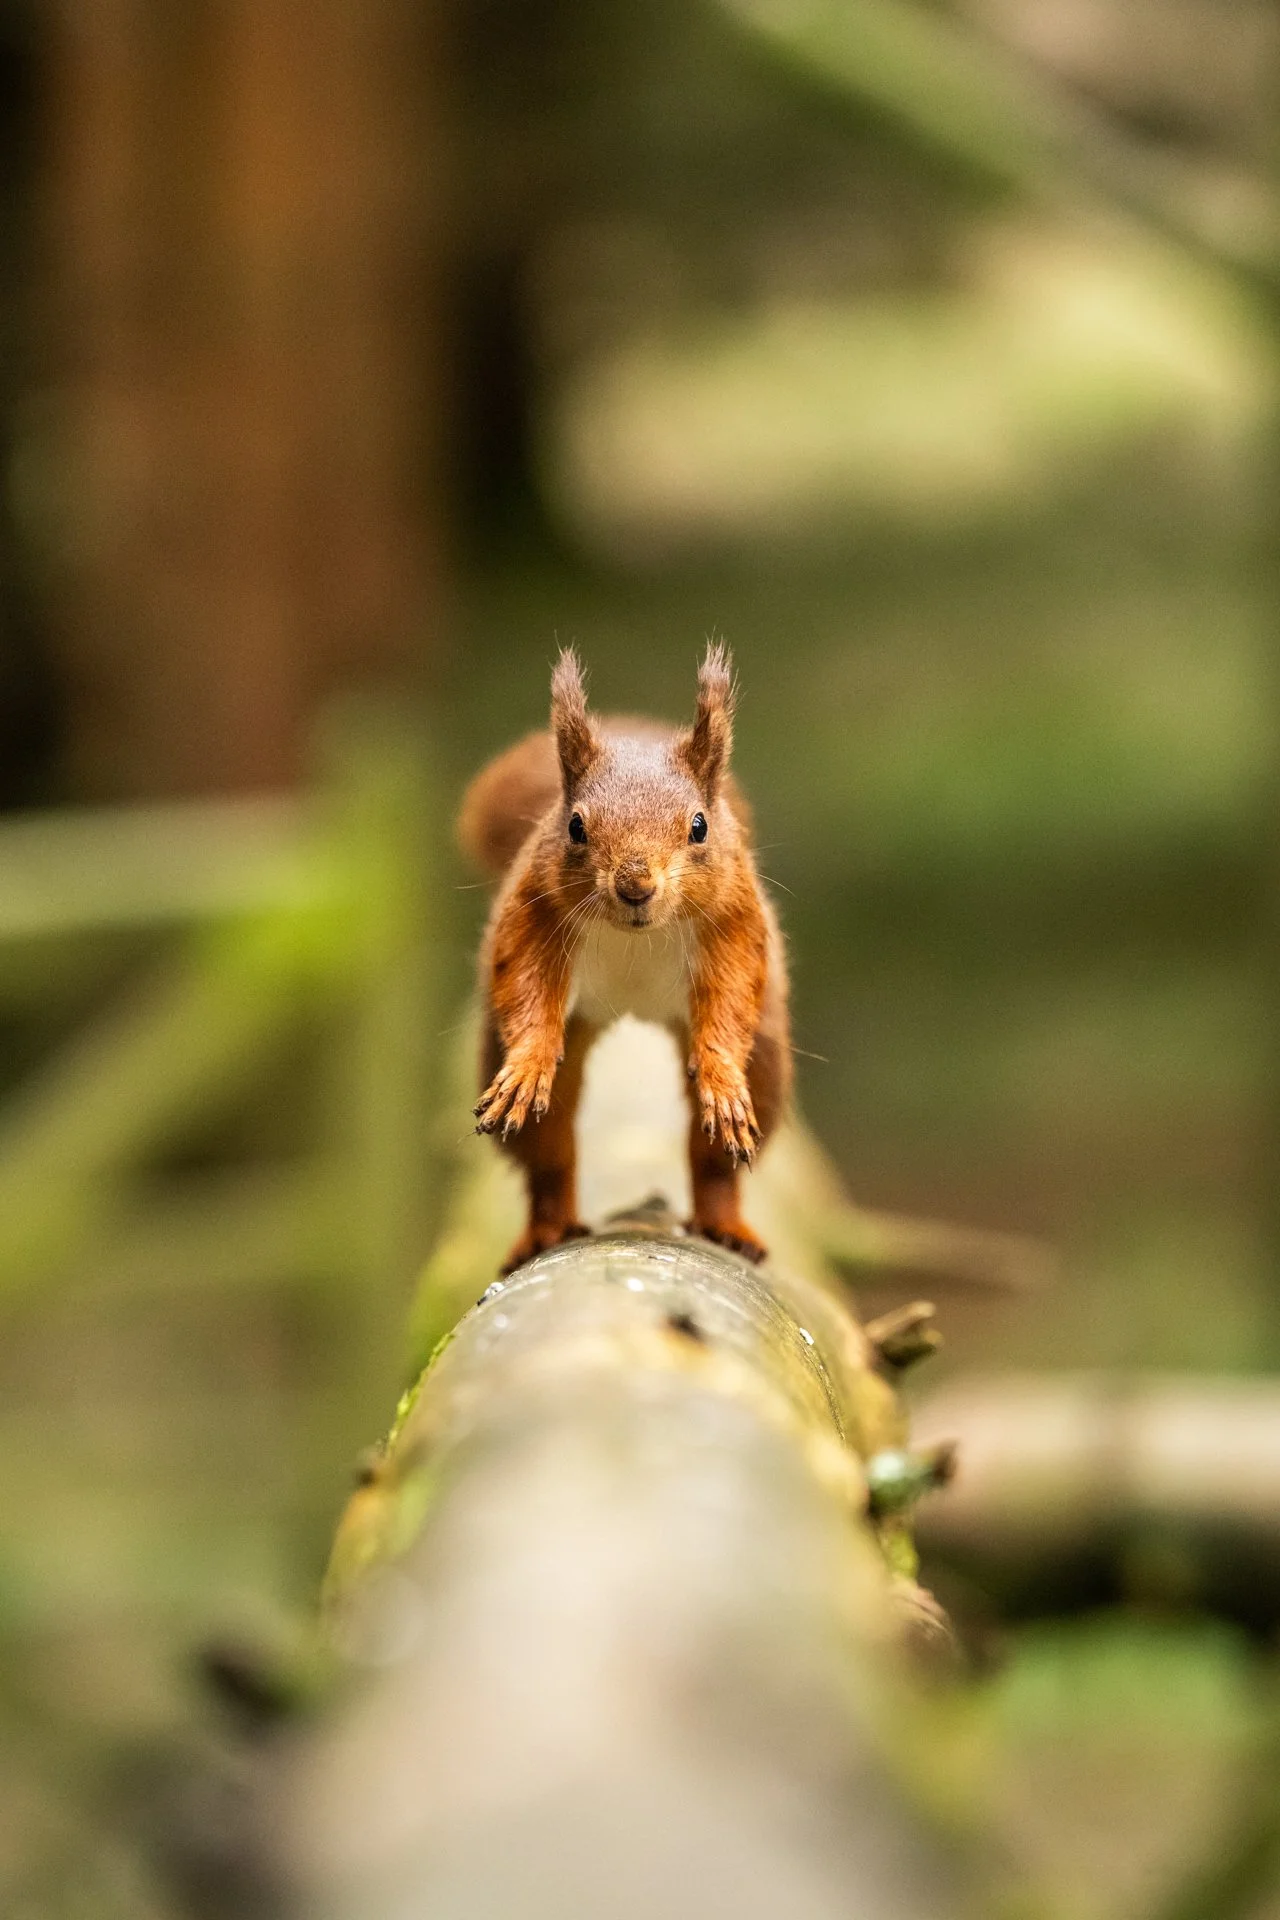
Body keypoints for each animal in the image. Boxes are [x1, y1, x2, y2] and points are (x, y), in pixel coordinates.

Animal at [458, 642, 791, 1274]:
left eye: (699, 826)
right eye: (575, 827)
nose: (635, 885)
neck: (638, 936)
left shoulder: (733, 919)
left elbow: (732, 994)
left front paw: (720, 1073)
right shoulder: (534, 911)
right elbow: (525, 985)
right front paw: (528, 1062)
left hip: (765, 1063)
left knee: (715, 1160)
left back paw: (724, 1222)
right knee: (549, 1152)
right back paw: (547, 1226)